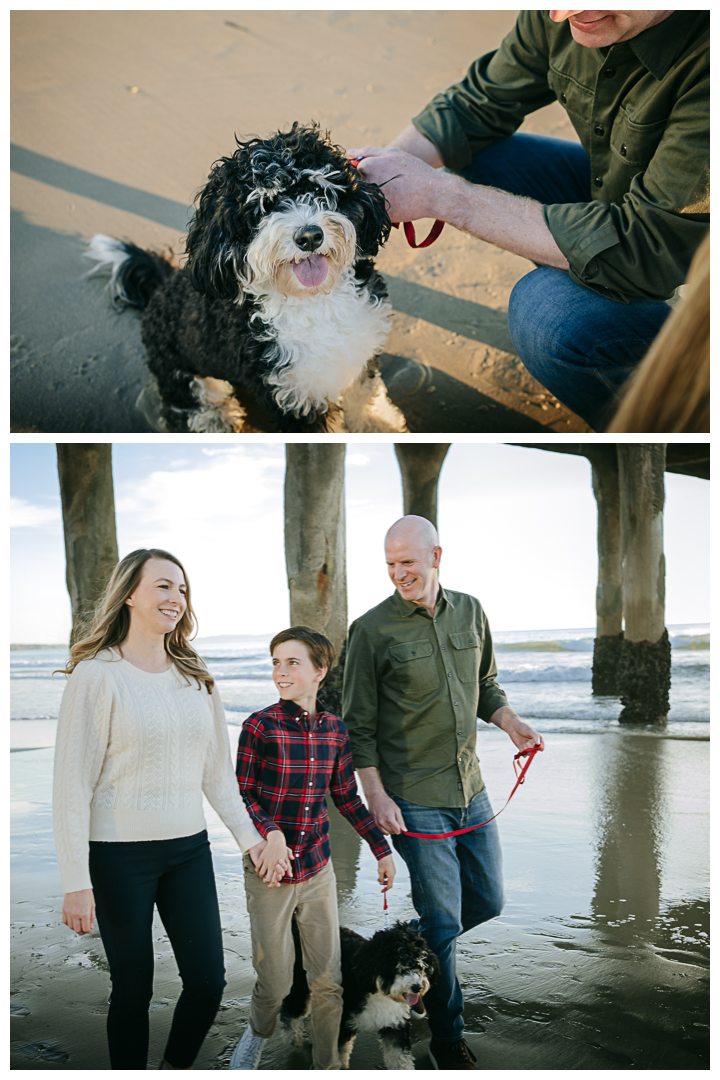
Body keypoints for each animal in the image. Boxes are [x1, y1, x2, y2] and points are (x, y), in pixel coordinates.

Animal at [84, 123, 405, 434]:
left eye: (317, 188)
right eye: (264, 205)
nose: (310, 237)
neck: (313, 300)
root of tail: (161, 288)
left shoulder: (362, 356)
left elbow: (366, 397)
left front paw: (381, 425)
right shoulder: (294, 397)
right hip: (176, 366)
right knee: (188, 399)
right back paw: (215, 418)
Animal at [280, 920, 440, 1071]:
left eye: (422, 965)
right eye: (398, 965)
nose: (417, 987)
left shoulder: (395, 1024)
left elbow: (400, 1059)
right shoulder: (341, 1021)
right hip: (300, 984)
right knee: (291, 1009)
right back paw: (292, 1037)